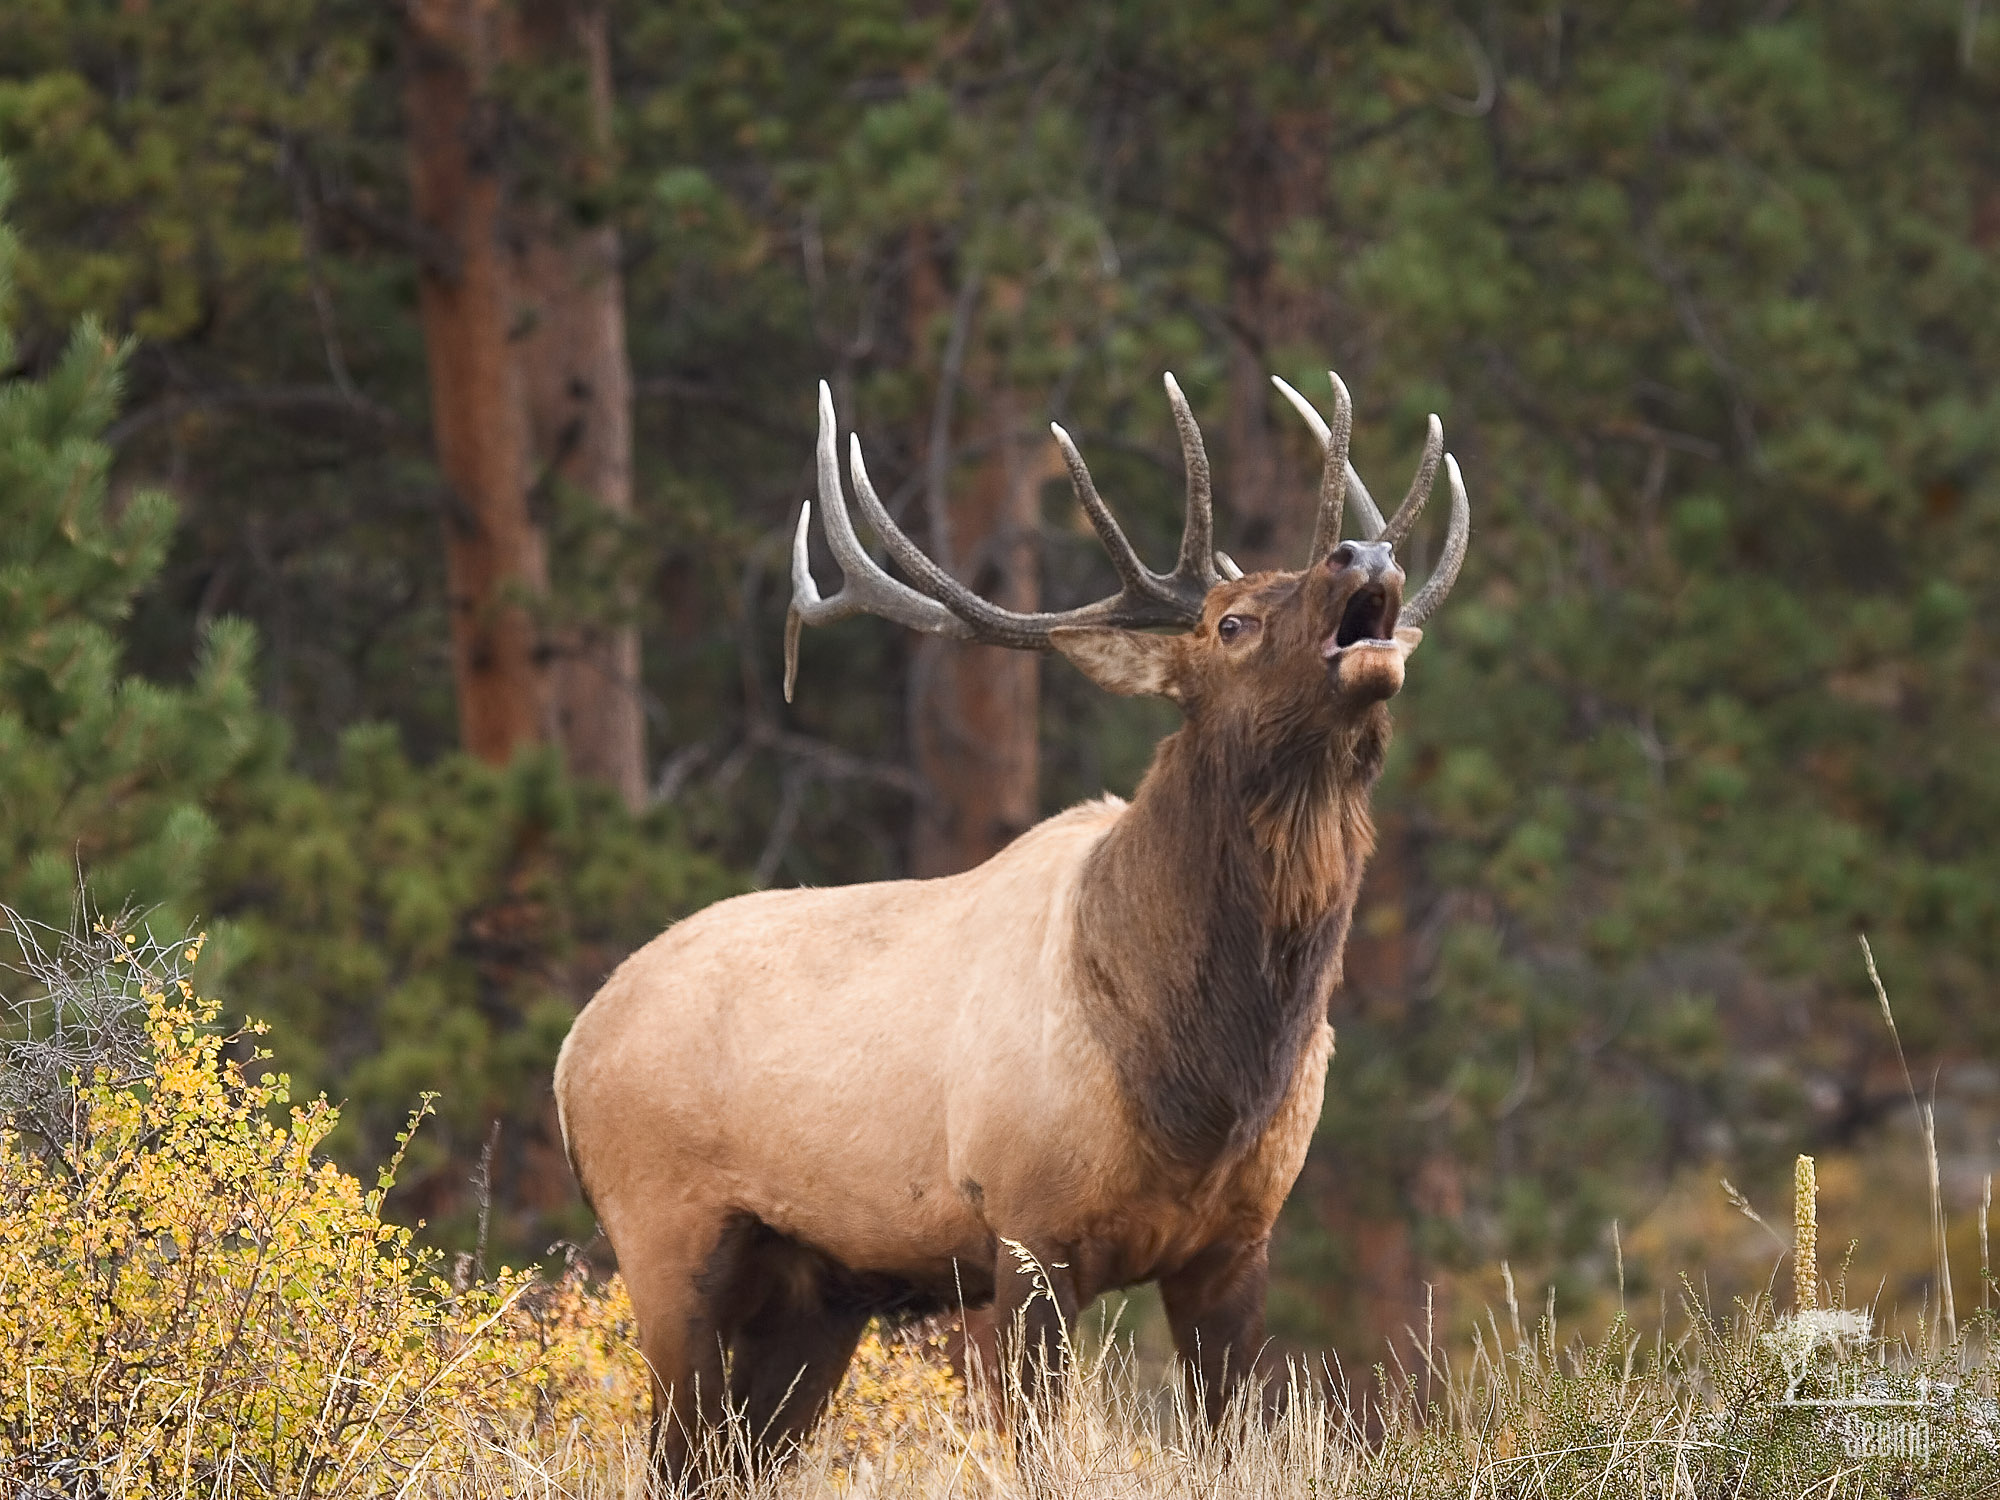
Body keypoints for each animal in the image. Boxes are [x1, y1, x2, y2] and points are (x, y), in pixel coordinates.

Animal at [553, 369, 1470, 1484]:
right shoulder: (1028, 1230)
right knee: (674, 1450)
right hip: (664, 1232)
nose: (1362, 552)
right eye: (1231, 621)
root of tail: (570, 1051)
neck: (1201, 1078)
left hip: (817, 1289)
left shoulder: (1234, 1244)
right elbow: (1037, 1446)